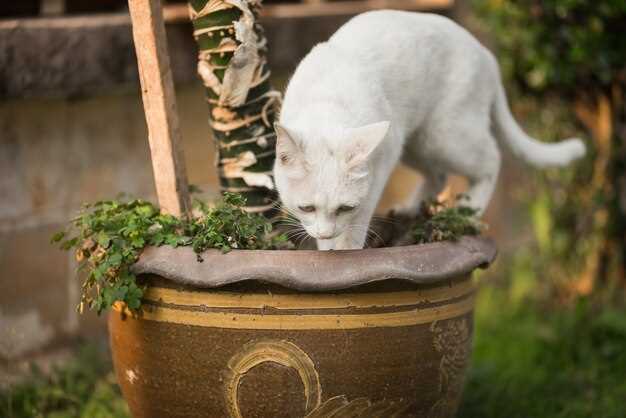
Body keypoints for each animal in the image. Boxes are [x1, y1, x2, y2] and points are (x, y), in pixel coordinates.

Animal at [272, 9, 584, 250]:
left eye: (345, 208)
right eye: (306, 208)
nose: (325, 232)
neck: (328, 106)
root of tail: (486, 55)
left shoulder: (383, 161)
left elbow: (358, 220)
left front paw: (345, 251)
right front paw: (327, 250)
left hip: (443, 137)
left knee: (492, 159)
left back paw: (469, 212)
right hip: (416, 145)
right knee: (438, 175)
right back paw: (411, 209)